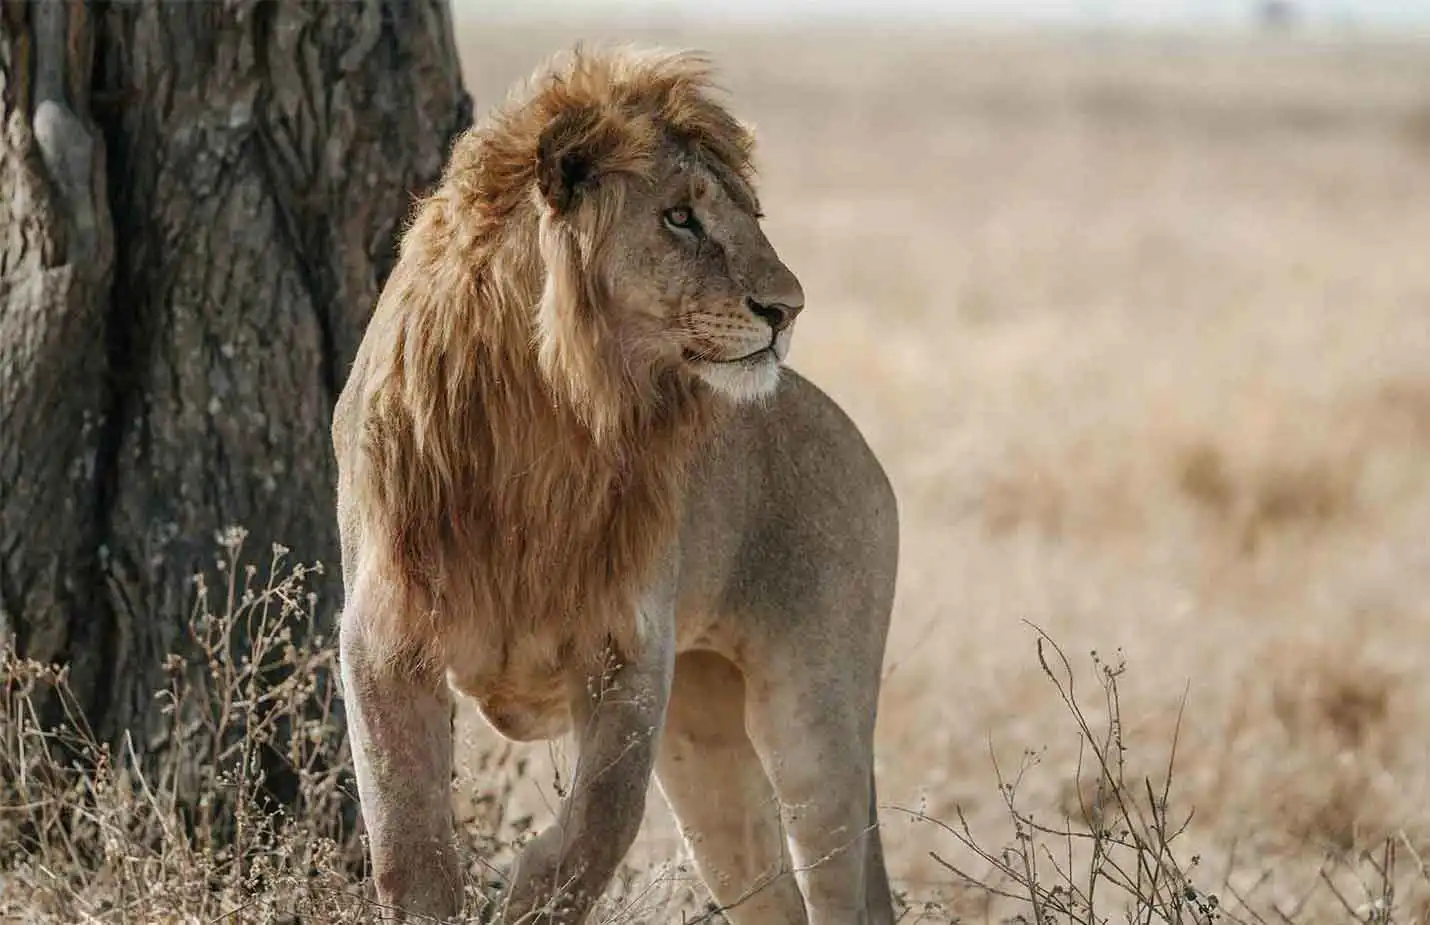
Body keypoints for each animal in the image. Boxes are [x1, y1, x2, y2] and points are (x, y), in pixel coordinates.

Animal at [328, 45, 898, 925]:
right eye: (680, 217)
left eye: (752, 214)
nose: (789, 309)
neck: (548, 410)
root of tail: (859, 443)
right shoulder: (386, 630)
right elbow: (406, 836)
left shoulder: (630, 642)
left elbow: (599, 824)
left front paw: (529, 900)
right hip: (704, 736)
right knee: (769, 892)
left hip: (812, 715)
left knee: (839, 884)